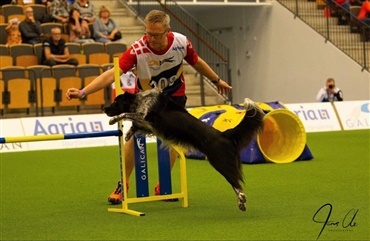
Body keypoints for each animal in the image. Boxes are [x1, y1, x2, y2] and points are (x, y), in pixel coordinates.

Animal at [104, 88, 264, 211]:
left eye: (115, 102)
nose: (104, 109)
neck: (139, 100)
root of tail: (224, 134)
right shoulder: (149, 125)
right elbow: (136, 126)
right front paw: (127, 134)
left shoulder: (144, 115)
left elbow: (127, 114)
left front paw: (113, 120)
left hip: (220, 162)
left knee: (236, 183)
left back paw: (242, 201)